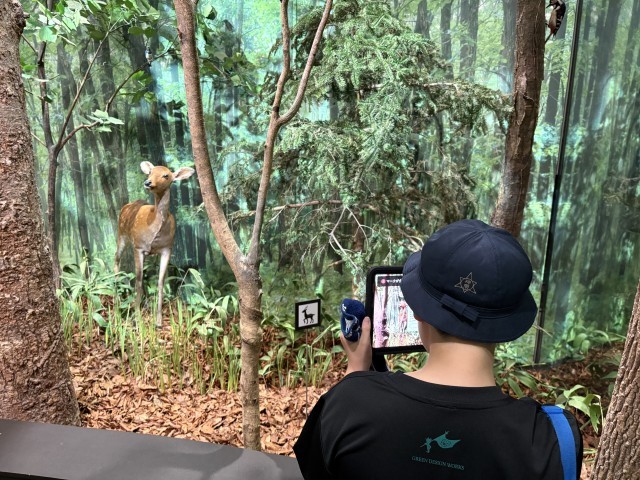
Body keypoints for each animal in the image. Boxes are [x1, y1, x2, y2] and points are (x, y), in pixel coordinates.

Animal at [114, 161, 195, 328]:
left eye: (166, 175)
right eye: (150, 172)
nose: (148, 182)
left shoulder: (167, 248)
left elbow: (160, 282)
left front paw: (158, 321)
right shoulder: (138, 247)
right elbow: (138, 281)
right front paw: (137, 318)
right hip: (122, 234)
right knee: (117, 258)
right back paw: (116, 292)